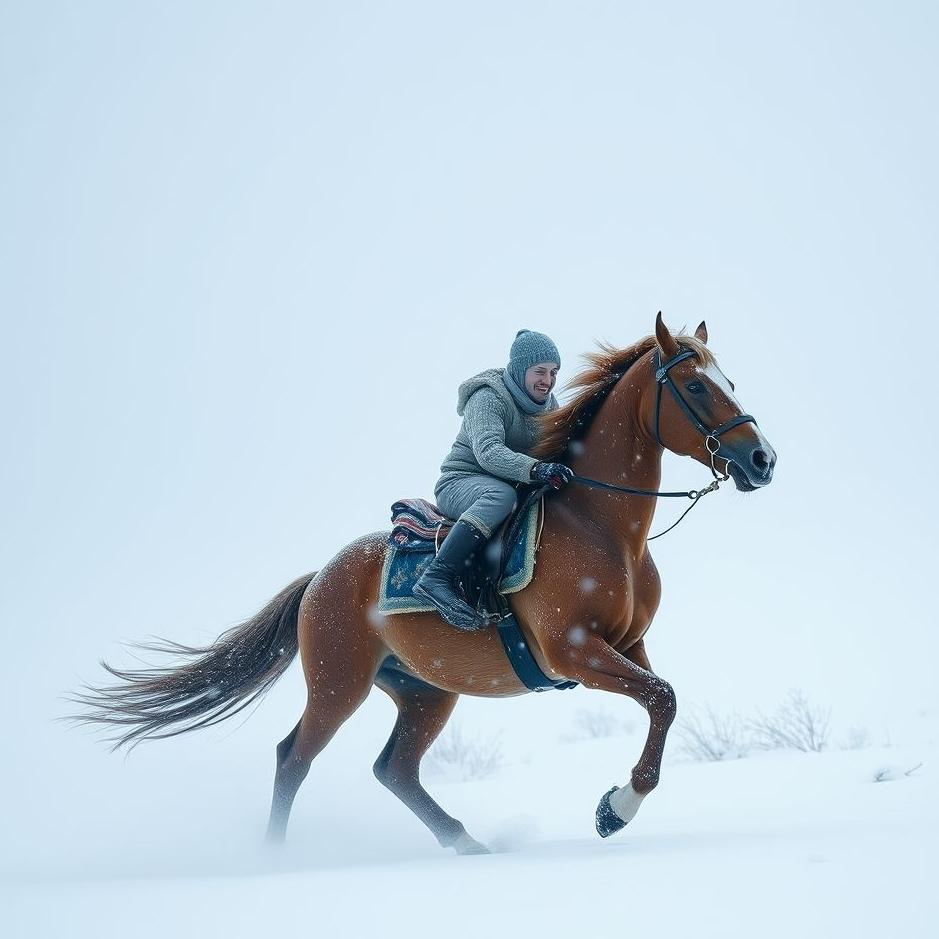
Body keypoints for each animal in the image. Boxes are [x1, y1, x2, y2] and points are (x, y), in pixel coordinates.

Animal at [71, 313, 776, 854]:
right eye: (695, 385)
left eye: (729, 380)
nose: (762, 459)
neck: (600, 527)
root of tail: (319, 579)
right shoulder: (573, 651)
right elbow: (662, 698)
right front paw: (614, 809)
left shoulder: (627, 647)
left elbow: (665, 700)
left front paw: (614, 805)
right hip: (340, 685)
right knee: (293, 758)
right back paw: (273, 857)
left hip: (426, 692)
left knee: (394, 771)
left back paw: (465, 842)